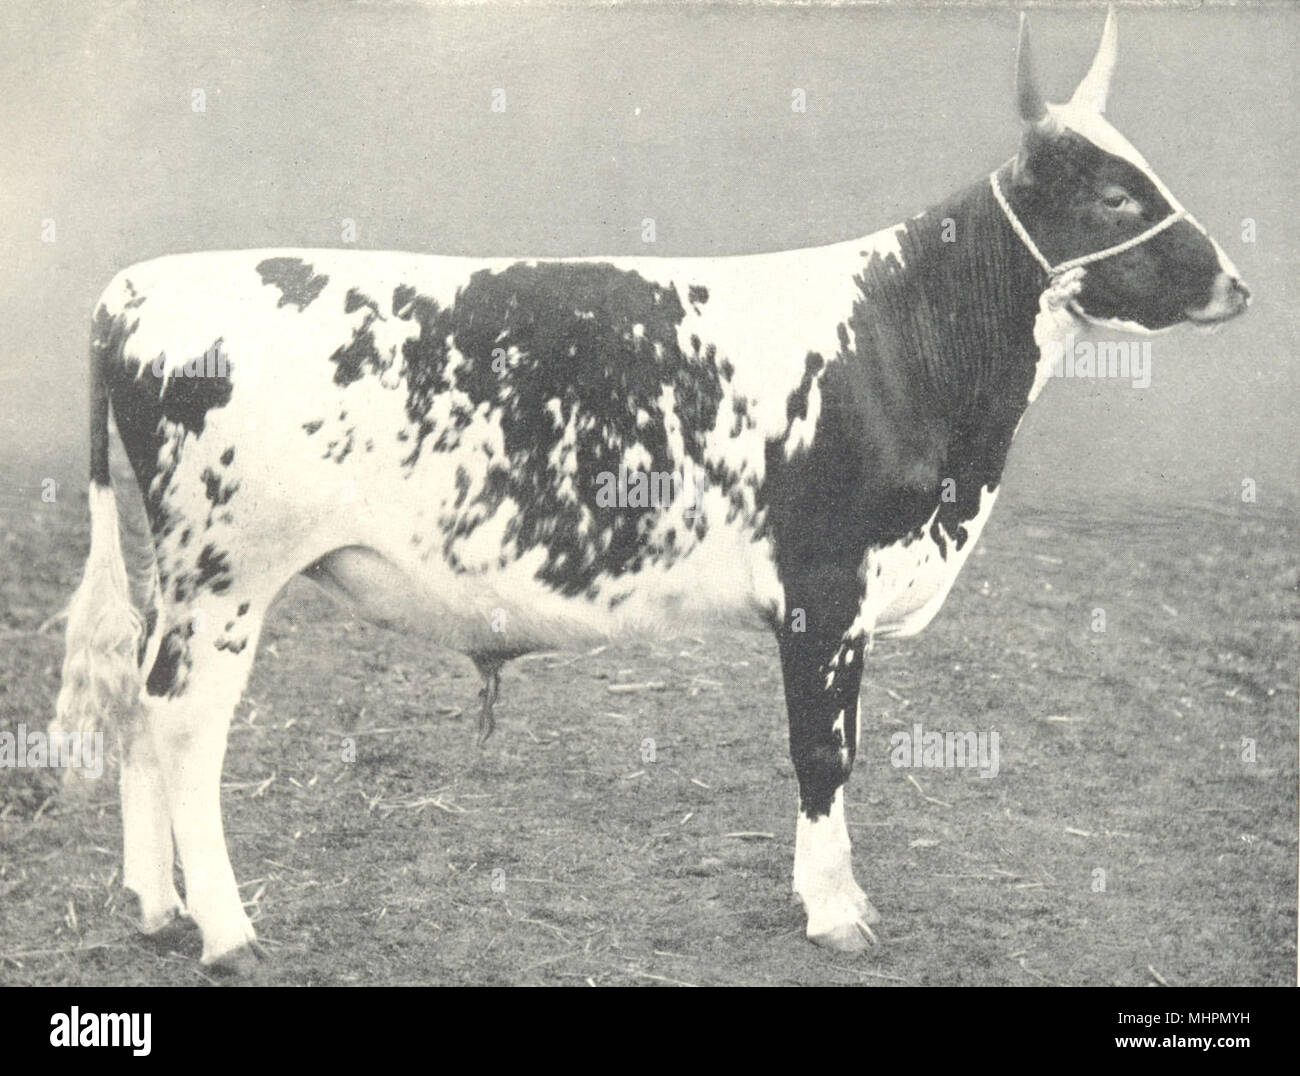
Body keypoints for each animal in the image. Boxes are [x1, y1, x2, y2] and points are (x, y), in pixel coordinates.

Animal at [53, 10, 1249, 974]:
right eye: (1114, 195)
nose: (1237, 284)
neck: (909, 346)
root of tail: (140, 283)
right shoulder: (827, 585)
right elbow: (825, 749)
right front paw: (836, 913)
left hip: (181, 577)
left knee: (139, 709)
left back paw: (156, 908)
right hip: (226, 573)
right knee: (182, 723)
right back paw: (226, 930)